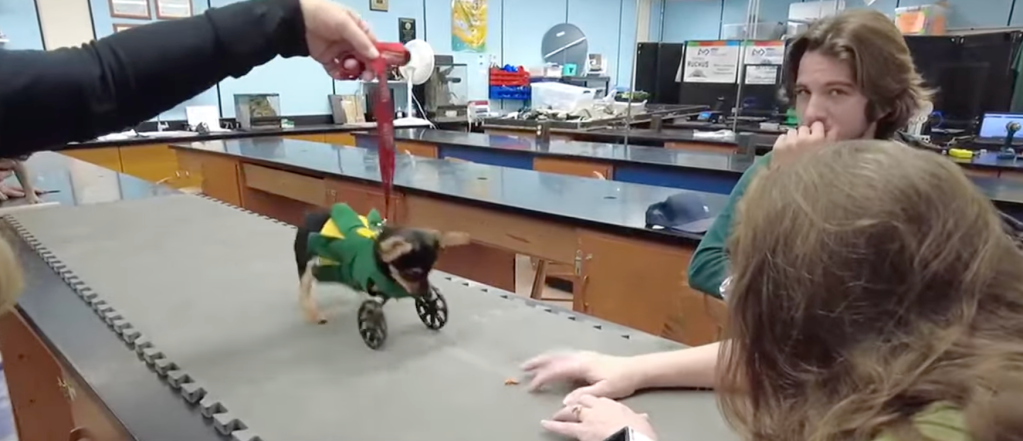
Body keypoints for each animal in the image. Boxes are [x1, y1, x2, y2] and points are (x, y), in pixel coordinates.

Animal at [294, 203, 468, 325]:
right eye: (412, 273)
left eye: (429, 272)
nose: (427, 294)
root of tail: (309, 217)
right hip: (307, 264)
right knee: (304, 290)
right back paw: (313, 313)